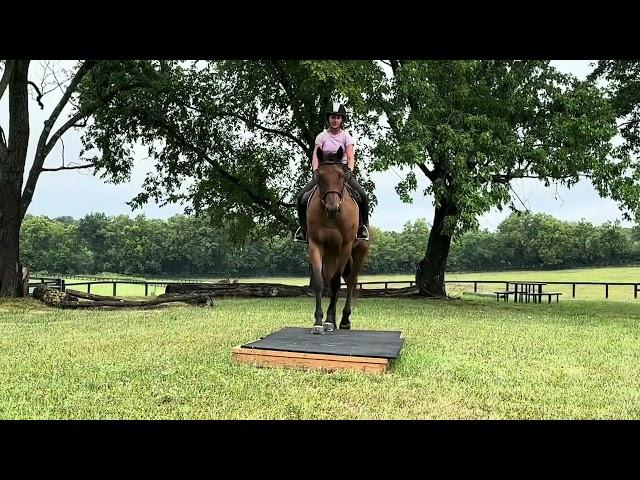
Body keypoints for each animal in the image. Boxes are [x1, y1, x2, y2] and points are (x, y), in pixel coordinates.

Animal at [304, 146, 370, 334]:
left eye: (341, 175)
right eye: (319, 175)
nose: (332, 208)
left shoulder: (345, 246)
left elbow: (335, 284)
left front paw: (328, 320)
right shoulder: (315, 245)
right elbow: (320, 282)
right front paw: (319, 321)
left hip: (359, 253)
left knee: (350, 282)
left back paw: (344, 320)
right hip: (330, 255)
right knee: (334, 279)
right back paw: (333, 320)